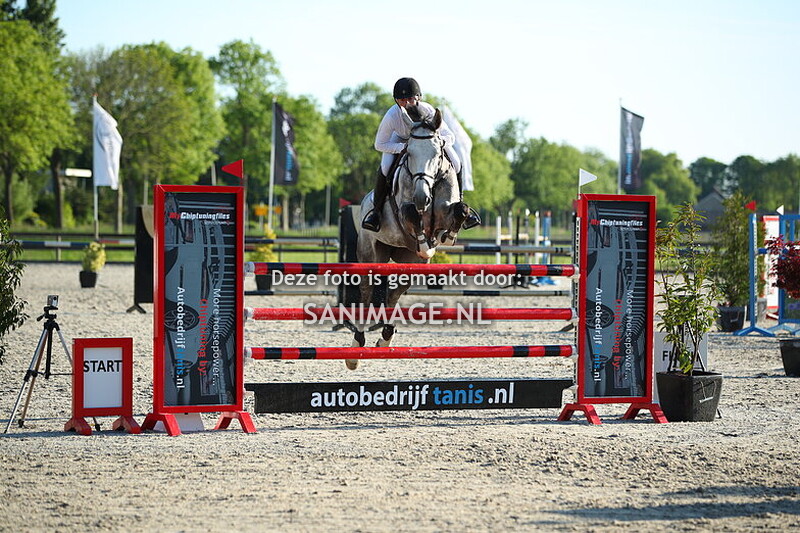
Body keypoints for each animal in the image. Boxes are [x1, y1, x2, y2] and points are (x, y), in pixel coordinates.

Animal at [347, 108, 471, 369]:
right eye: (410, 153)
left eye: (437, 153)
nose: (422, 198)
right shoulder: (405, 212)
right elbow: (410, 212)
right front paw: (426, 241)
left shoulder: (446, 210)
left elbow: (460, 210)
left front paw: (446, 237)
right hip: (371, 254)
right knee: (366, 293)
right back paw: (356, 345)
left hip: (411, 262)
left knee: (394, 294)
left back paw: (385, 337)